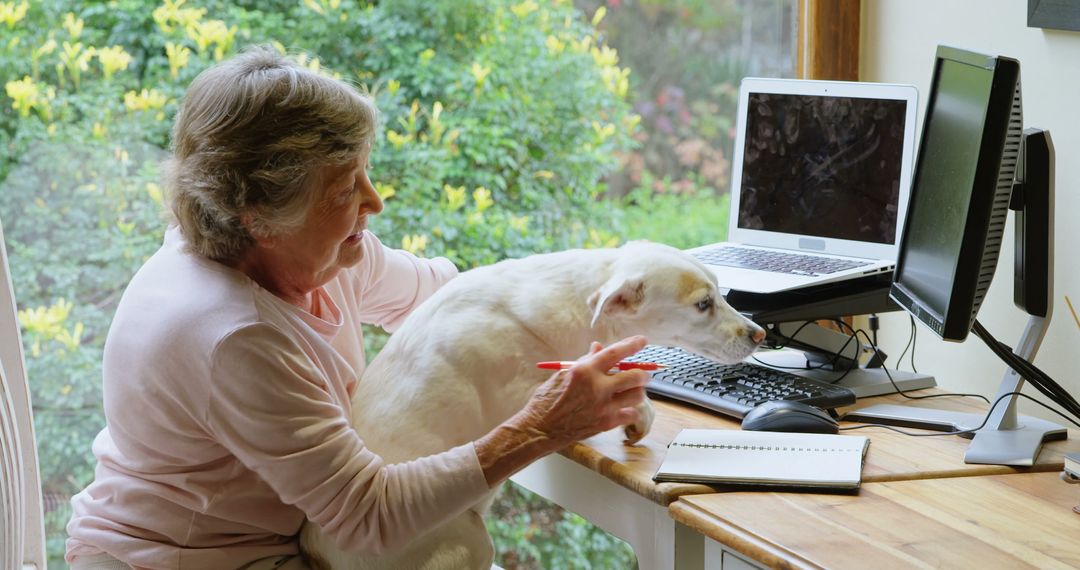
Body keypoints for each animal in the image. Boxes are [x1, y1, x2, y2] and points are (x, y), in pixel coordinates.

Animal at [300, 241, 764, 570]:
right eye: (703, 304)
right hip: (472, 541)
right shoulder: (535, 388)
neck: (579, 302)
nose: (760, 335)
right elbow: (624, 392)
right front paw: (636, 410)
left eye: (720, 295)